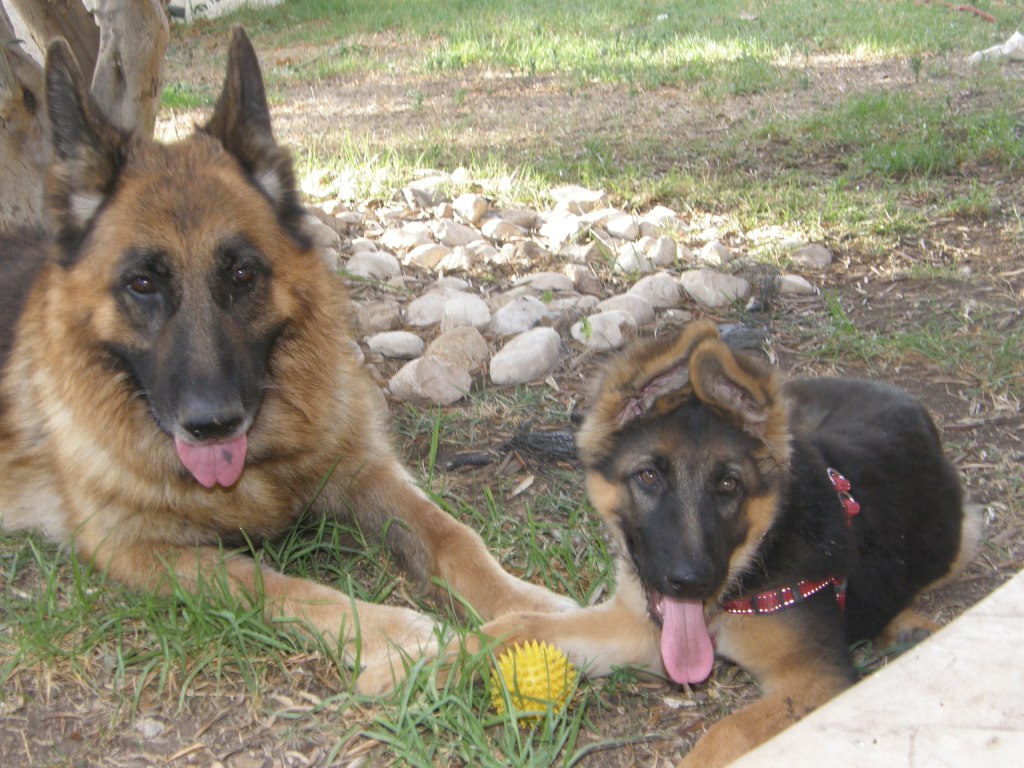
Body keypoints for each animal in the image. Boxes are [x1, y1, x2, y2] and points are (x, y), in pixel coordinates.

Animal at [0, 28, 571, 694]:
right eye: (142, 283)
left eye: (242, 274)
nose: (212, 424)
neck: (262, 462)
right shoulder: (140, 550)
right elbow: (272, 584)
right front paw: (391, 632)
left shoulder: (364, 471)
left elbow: (452, 535)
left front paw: (528, 604)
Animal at [484, 320, 978, 765]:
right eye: (648, 476)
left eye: (728, 485)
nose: (691, 582)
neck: (755, 563)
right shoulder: (639, 628)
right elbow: (529, 626)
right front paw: (466, 652)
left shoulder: (816, 681)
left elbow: (726, 733)